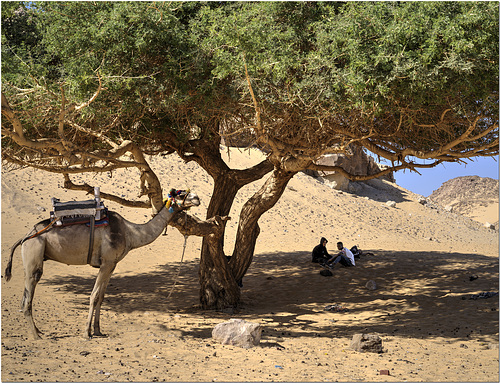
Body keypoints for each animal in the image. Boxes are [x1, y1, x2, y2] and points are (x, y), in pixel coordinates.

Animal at [4, 189, 199, 340]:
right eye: (181, 193)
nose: (197, 198)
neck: (131, 233)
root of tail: (25, 237)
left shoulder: (111, 264)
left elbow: (101, 297)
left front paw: (97, 330)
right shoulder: (106, 263)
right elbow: (93, 295)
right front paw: (86, 333)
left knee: (24, 298)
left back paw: (39, 332)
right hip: (34, 252)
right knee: (28, 296)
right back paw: (36, 336)